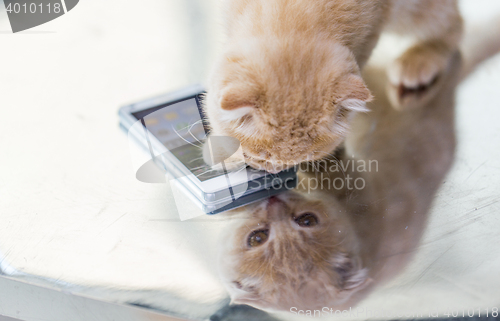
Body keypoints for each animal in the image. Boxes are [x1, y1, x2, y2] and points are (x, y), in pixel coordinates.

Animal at [203, 0, 460, 172]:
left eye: (306, 159)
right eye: (263, 157)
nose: (276, 171)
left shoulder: (372, 27)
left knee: (453, 24)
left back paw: (421, 58)